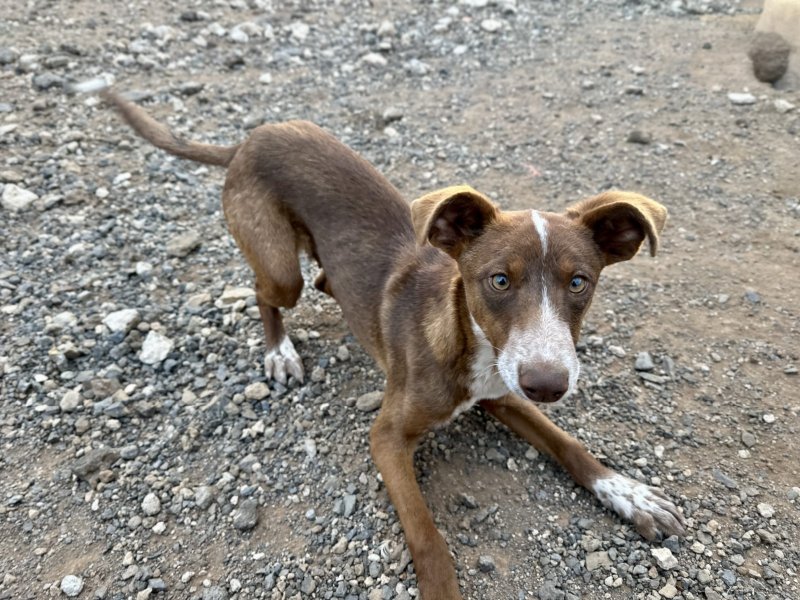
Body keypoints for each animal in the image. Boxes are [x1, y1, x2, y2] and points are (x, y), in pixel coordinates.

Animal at [103, 90, 685, 599]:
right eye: (499, 281)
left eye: (579, 282)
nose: (548, 384)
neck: (468, 346)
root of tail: (252, 137)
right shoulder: (386, 437)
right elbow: (427, 536)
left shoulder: (504, 391)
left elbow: (569, 444)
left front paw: (629, 494)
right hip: (279, 265)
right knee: (266, 292)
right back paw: (279, 352)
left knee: (324, 280)